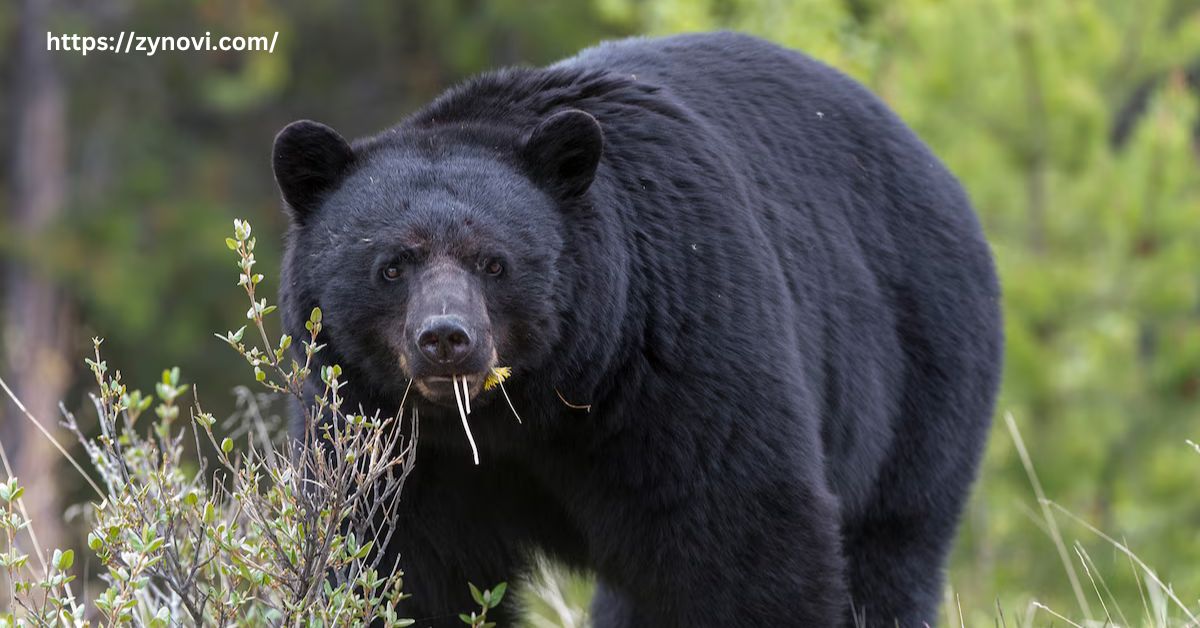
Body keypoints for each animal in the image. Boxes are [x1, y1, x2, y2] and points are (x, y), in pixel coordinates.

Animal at [272, 30, 1003, 628]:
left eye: (494, 261)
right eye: (392, 265)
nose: (447, 339)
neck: (526, 407)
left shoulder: (675, 354)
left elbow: (741, 539)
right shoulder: (381, 428)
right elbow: (392, 557)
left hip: (919, 369)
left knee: (892, 549)